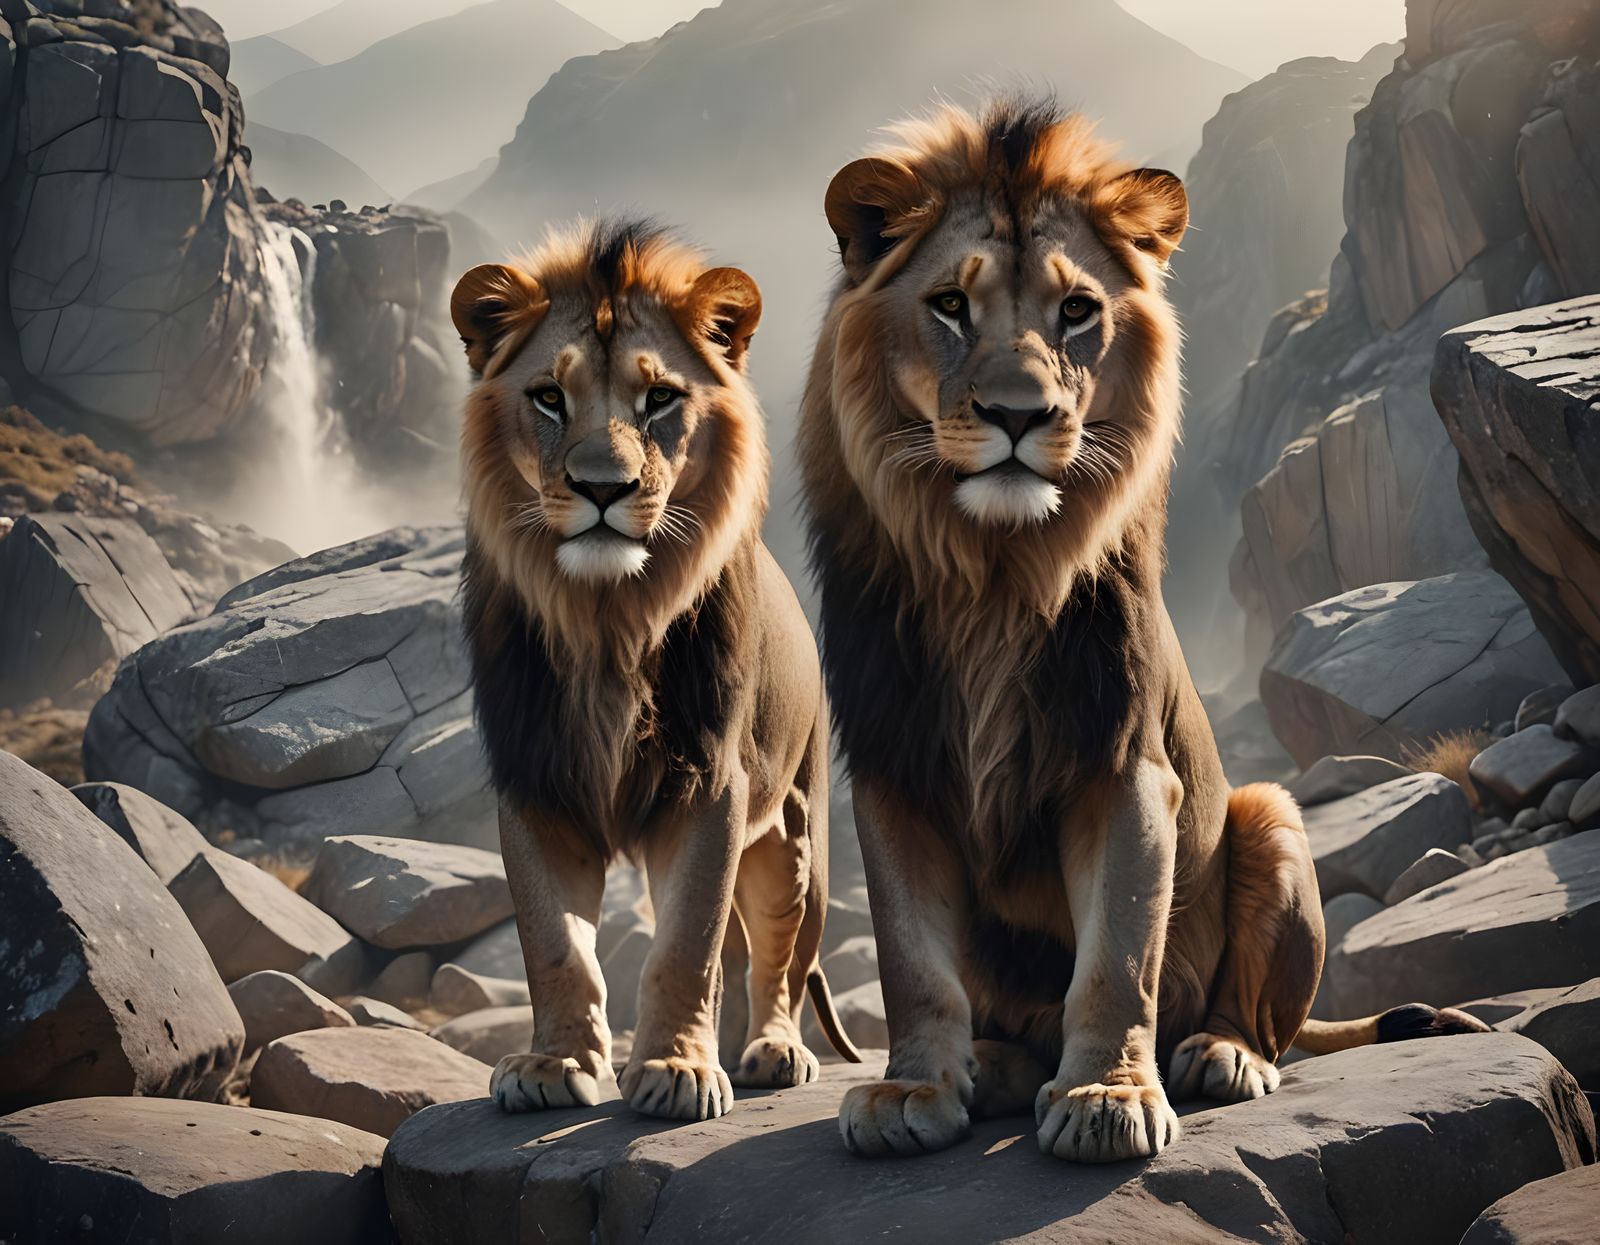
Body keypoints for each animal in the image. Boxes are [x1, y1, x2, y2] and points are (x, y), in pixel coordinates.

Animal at [454, 219, 860, 1122]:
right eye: (548, 397)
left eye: (661, 398)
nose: (604, 488)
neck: (607, 617)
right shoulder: (532, 780)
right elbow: (555, 944)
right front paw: (552, 1063)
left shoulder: (709, 784)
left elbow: (686, 944)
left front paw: (676, 1069)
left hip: (797, 838)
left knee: (778, 955)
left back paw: (772, 1051)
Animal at [798, 98, 1484, 1163]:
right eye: (950, 305)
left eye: (1077, 310)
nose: (1018, 413)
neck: (995, 574)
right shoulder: (893, 767)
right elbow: (912, 958)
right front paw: (912, 1086)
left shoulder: (1123, 766)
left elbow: (1118, 955)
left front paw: (1108, 1096)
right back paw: (996, 1065)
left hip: (1269, 815)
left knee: (1263, 1018)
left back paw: (1218, 1055)